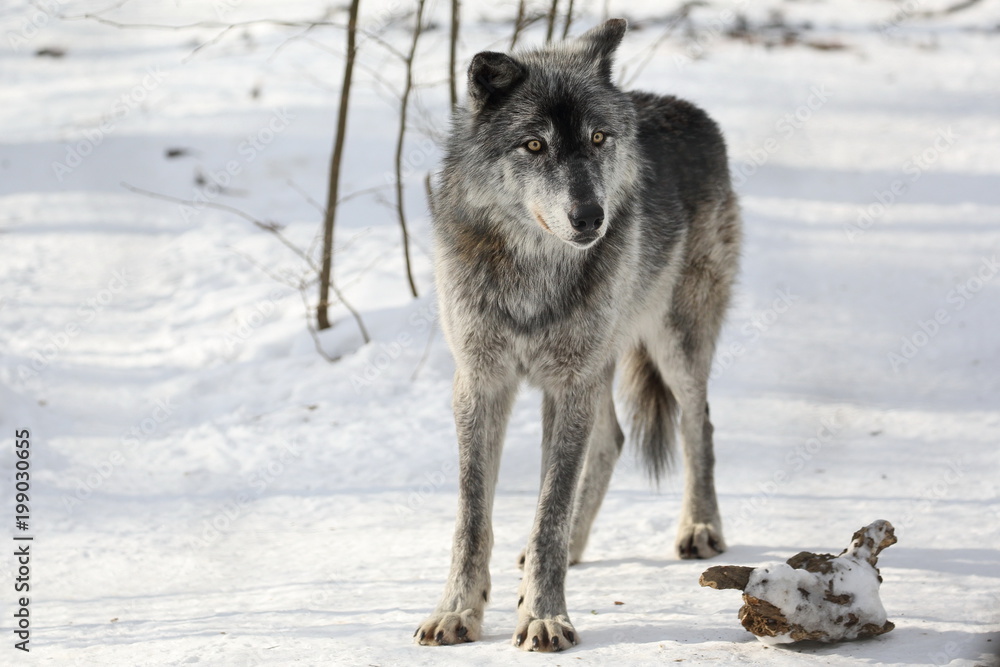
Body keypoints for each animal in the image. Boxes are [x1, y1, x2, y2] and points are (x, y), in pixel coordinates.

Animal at [415, 18, 741, 652]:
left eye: (597, 138)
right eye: (534, 145)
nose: (591, 217)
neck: (532, 270)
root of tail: (684, 106)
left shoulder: (567, 384)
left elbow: (549, 510)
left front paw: (544, 616)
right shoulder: (482, 383)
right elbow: (473, 516)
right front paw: (457, 611)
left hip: (673, 343)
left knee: (700, 423)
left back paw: (699, 527)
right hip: (604, 366)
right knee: (612, 439)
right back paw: (579, 546)